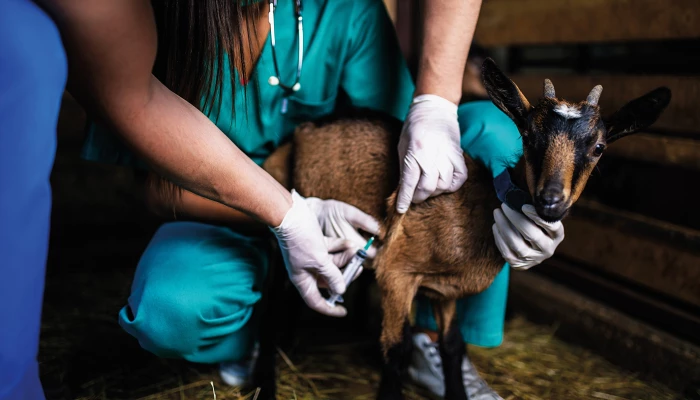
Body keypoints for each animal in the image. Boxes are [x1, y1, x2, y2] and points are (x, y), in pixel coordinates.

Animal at [254, 59, 671, 400]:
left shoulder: (444, 291)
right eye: (528, 136)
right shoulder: (396, 272)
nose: (551, 200)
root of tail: (301, 131)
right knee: (271, 305)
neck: (477, 211)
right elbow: (397, 350)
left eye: (598, 147)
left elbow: (453, 345)